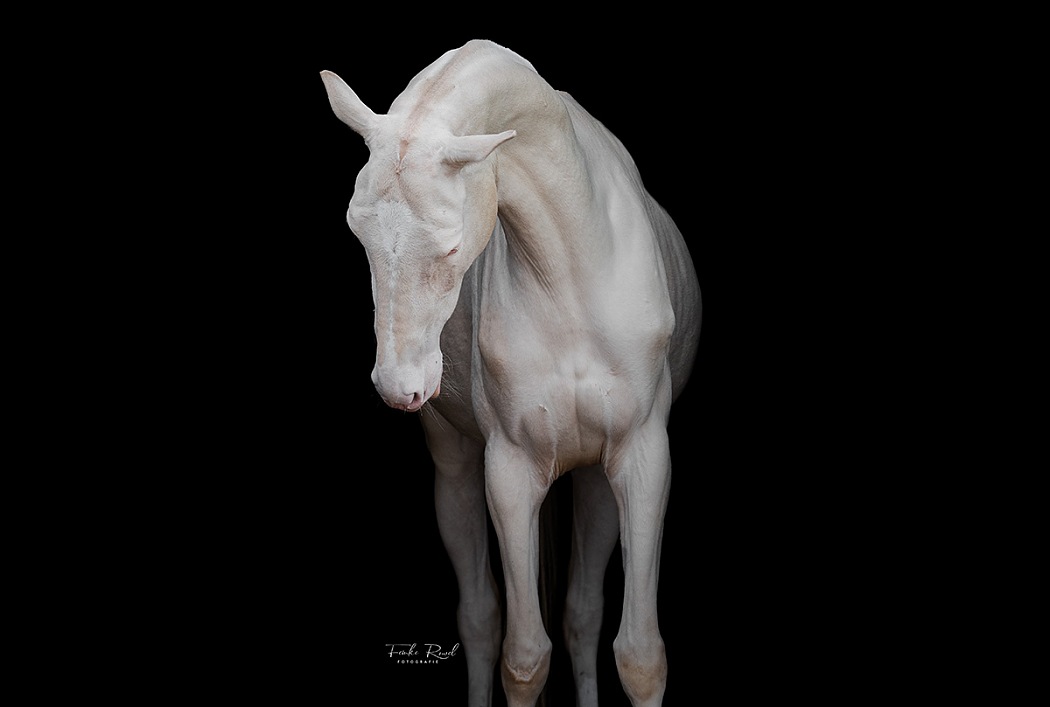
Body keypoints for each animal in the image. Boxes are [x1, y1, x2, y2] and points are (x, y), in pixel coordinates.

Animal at [322, 40, 700, 707]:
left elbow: (640, 656)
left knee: (581, 612)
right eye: (357, 232)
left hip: (597, 478)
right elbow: (523, 659)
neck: (571, 276)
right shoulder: (512, 470)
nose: (399, 387)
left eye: (451, 247)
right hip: (455, 463)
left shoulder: (644, 455)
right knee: (481, 619)